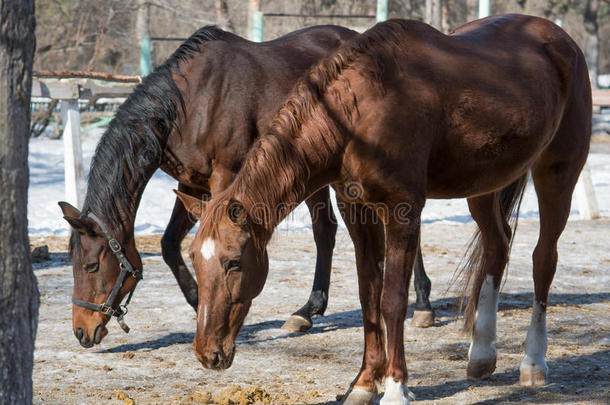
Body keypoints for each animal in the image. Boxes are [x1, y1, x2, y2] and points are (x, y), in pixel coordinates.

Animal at [57, 24, 434, 348]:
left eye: (90, 265)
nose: (81, 330)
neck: (189, 103)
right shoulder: (192, 185)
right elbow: (168, 244)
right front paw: (200, 301)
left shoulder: (225, 179)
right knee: (325, 232)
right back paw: (307, 311)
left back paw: (423, 303)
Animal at [184, 14, 588, 402]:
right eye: (195, 261)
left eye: (233, 262)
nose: (207, 354)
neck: (358, 114)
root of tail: (560, 39)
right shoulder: (357, 211)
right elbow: (369, 296)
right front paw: (364, 384)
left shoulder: (401, 211)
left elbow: (392, 300)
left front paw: (395, 388)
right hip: (483, 186)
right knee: (497, 247)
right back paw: (481, 354)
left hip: (556, 172)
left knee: (543, 259)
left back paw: (533, 361)